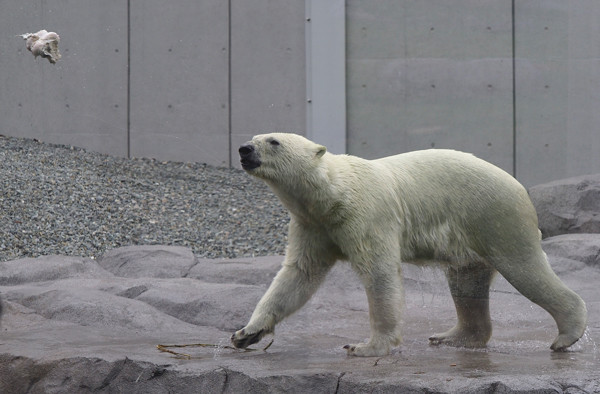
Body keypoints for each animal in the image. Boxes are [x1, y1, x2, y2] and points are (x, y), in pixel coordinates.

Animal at [232, 132, 588, 358]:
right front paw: (245, 333)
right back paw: (450, 336)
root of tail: (519, 186)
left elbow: (379, 274)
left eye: (274, 141)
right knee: (466, 282)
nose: (244, 149)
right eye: (256, 135)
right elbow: (298, 274)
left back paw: (566, 336)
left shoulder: (365, 215)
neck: (334, 193)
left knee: (524, 268)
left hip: (496, 217)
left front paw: (365, 347)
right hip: (472, 235)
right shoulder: (313, 225)